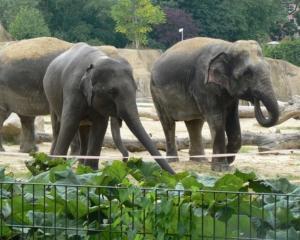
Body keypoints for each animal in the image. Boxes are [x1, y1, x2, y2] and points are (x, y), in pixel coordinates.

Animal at [42, 43, 173, 173]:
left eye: (136, 89)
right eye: (112, 91)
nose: (173, 174)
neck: (96, 61)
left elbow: (100, 127)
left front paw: (92, 172)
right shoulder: (73, 90)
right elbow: (69, 124)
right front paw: (58, 167)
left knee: (84, 131)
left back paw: (81, 168)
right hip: (51, 99)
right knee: (58, 127)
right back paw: (51, 163)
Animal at [151, 37, 280, 171]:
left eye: (269, 68)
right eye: (247, 73)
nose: (255, 99)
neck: (228, 46)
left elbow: (233, 119)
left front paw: (228, 161)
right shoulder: (204, 85)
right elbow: (216, 120)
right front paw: (222, 168)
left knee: (195, 124)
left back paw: (200, 161)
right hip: (156, 94)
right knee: (168, 124)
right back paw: (172, 161)